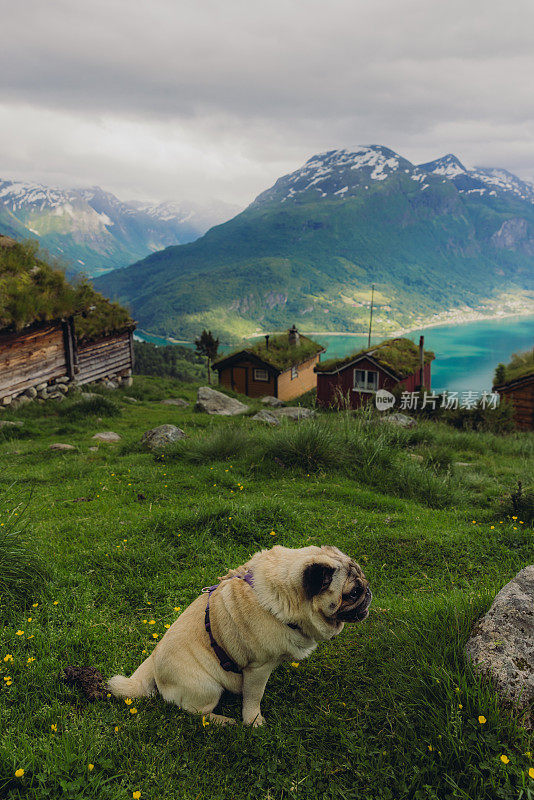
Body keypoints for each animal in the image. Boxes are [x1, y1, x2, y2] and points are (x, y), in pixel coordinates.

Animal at [109, 544, 372, 724]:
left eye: (363, 583)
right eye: (353, 592)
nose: (368, 592)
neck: (283, 600)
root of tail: (153, 662)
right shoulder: (257, 668)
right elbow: (253, 697)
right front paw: (254, 722)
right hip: (208, 687)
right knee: (196, 713)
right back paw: (223, 721)